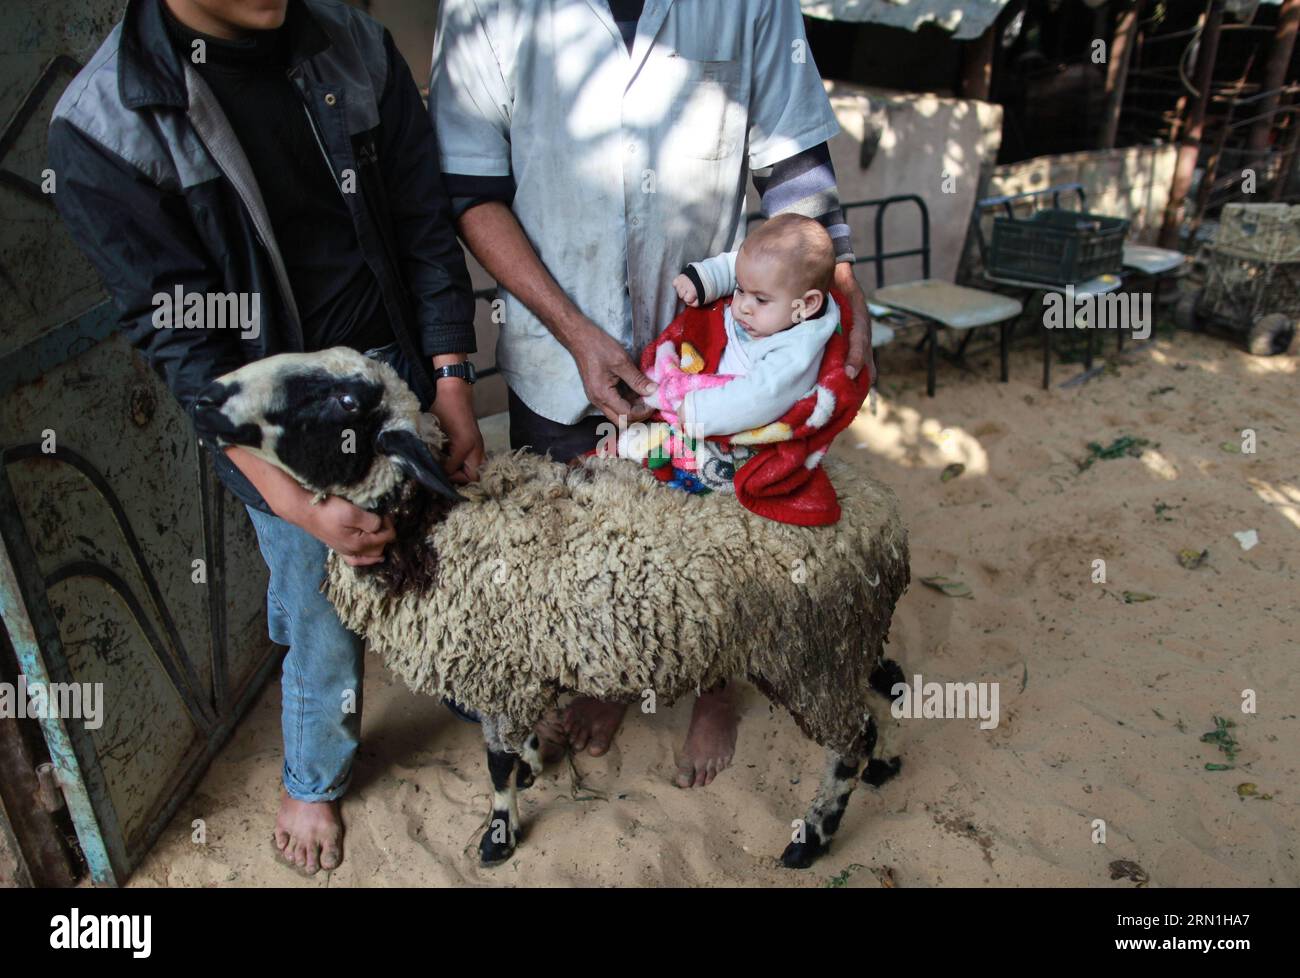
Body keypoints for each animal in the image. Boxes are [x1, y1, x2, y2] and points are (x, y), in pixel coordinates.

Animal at [195, 348, 915, 868]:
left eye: (342, 400)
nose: (202, 398)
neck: (429, 530)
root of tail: (884, 520)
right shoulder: (515, 673)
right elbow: (515, 747)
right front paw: (537, 764)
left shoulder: (493, 672)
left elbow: (495, 765)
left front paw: (499, 834)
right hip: (840, 649)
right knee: (868, 713)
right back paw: (880, 767)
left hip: (810, 658)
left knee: (849, 740)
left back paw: (811, 839)